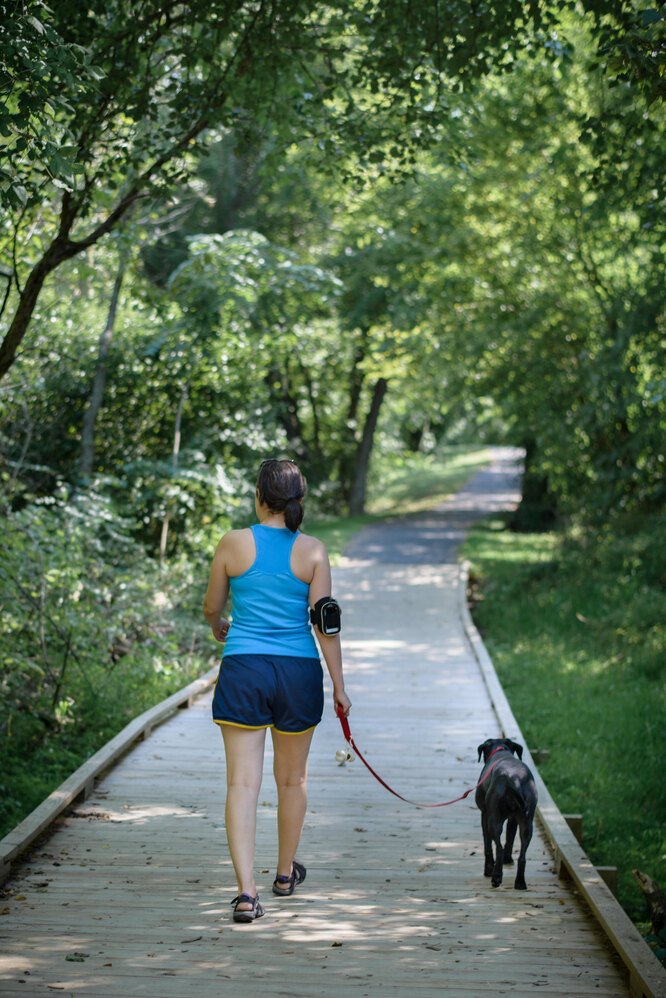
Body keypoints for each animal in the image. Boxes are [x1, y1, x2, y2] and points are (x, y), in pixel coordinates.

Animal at [474, 740, 536, 896]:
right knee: (522, 857)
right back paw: (520, 882)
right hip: (527, 823)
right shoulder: (513, 819)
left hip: (494, 821)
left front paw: (488, 869)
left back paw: (496, 877)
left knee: (499, 848)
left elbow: (488, 846)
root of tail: (515, 779)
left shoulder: (485, 814)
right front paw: (508, 859)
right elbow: (510, 839)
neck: (501, 750)